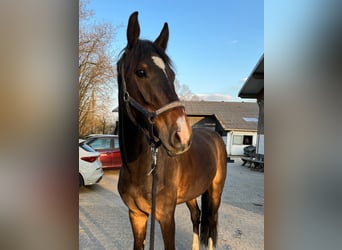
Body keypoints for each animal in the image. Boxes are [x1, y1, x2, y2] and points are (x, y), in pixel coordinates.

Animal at [117, 12, 227, 250]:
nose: (182, 134)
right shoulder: (136, 215)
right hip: (192, 193)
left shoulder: (166, 217)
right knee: (197, 216)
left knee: (212, 221)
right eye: (141, 72)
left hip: (215, 191)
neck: (140, 168)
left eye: (172, 75)